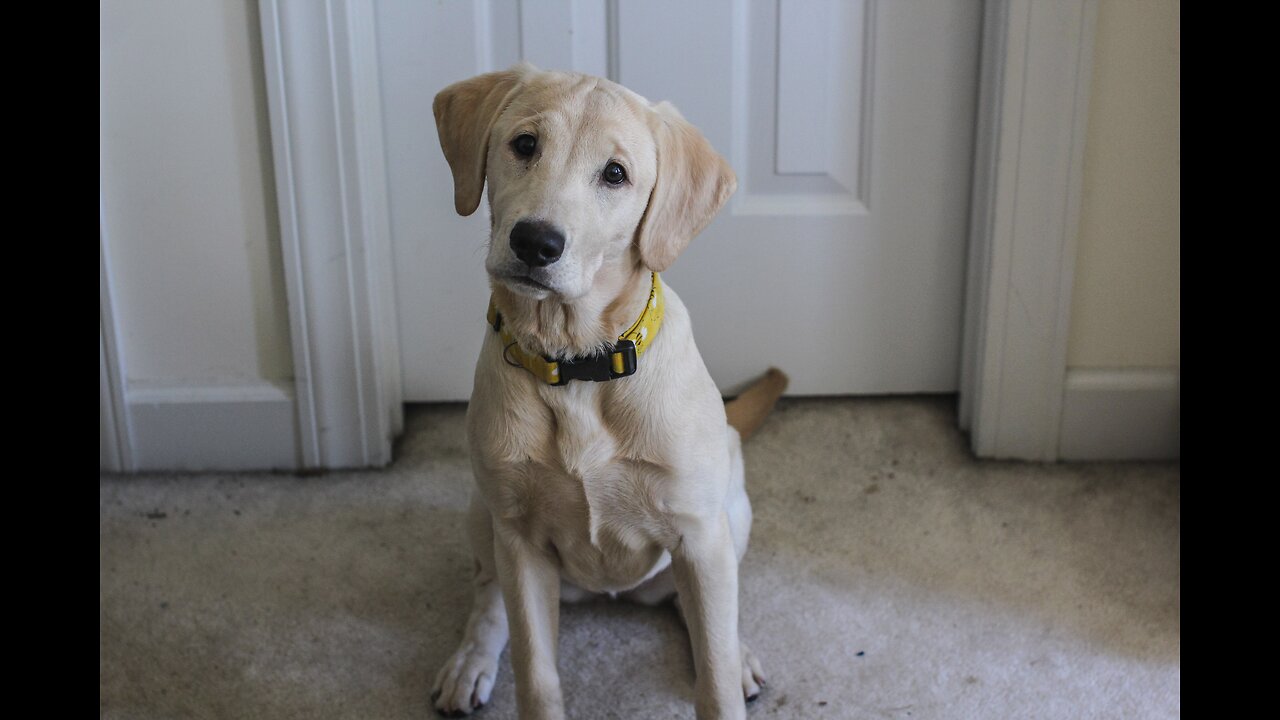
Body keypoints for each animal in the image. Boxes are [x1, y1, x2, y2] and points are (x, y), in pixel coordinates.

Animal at [435, 64, 783, 712]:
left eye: (615, 174)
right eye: (525, 144)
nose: (535, 242)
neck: (578, 364)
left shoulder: (700, 536)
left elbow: (715, 676)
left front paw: (726, 670)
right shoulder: (519, 540)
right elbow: (536, 673)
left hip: (731, 506)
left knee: (702, 613)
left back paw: (740, 651)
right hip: (483, 509)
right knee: (487, 595)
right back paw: (471, 660)